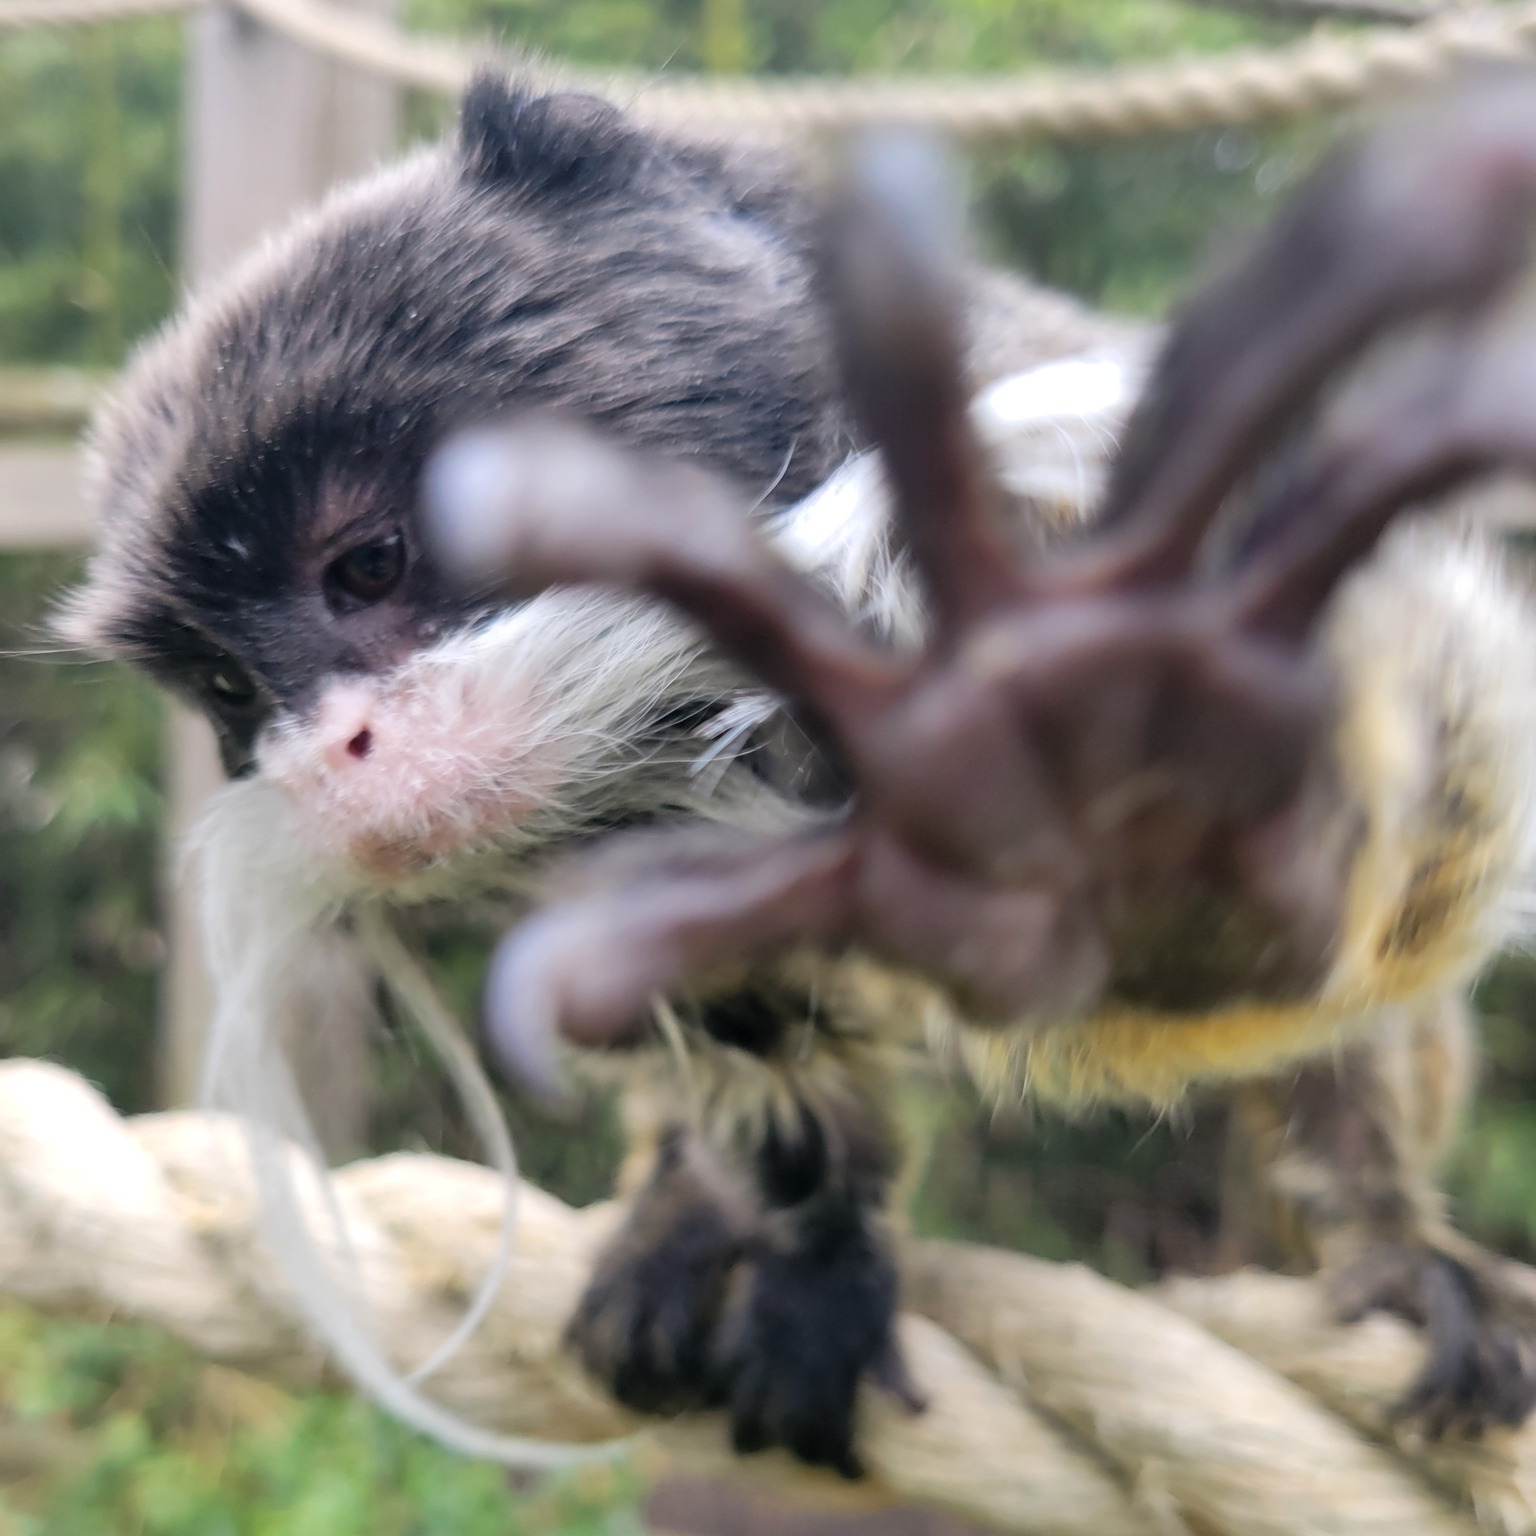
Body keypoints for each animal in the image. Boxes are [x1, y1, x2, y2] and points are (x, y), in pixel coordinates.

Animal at [62, 74, 1536, 1474]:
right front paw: (813, 1250)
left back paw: (1391, 1238)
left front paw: (1122, 826)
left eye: (370, 563)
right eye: (236, 693)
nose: (328, 760)